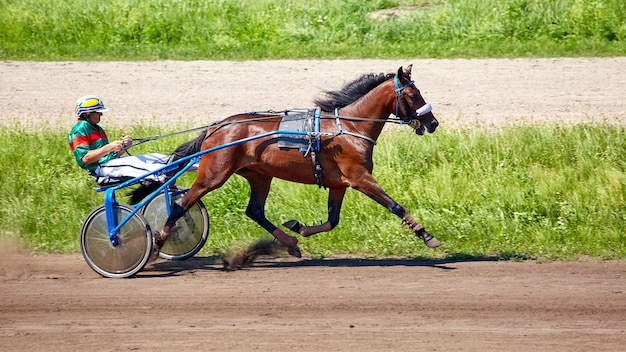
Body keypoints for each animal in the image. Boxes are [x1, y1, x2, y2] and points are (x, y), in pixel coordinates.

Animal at [156, 64, 438, 258]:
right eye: (412, 95)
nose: (433, 122)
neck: (348, 128)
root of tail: (216, 127)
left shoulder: (338, 184)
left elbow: (332, 220)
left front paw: (298, 227)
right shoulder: (359, 178)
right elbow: (395, 206)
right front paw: (427, 235)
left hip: (259, 175)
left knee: (254, 211)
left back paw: (290, 243)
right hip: (213, 174)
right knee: (181, 205)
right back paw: (159, 240)